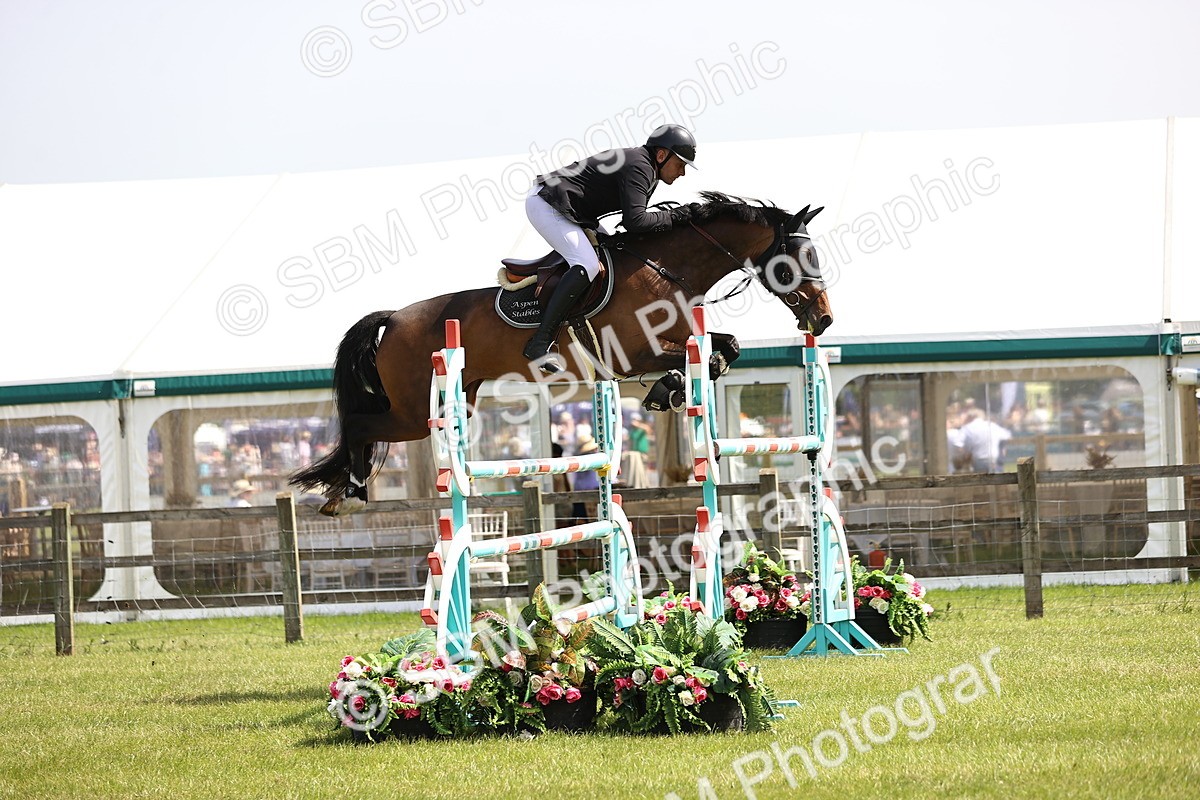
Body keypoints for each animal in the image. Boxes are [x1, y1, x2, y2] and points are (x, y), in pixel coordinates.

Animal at [291, 192, 833, 516]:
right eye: (799, 258)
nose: (823, 319)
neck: (665, 269)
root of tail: (394, 317)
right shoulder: (632, 354)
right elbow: (686, 360)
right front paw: (669, 387)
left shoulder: (678, 339)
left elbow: (725, 349)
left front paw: (673, 389)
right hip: (410, 410)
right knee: (360, 425)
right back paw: (349, 494)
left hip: (457, 397)